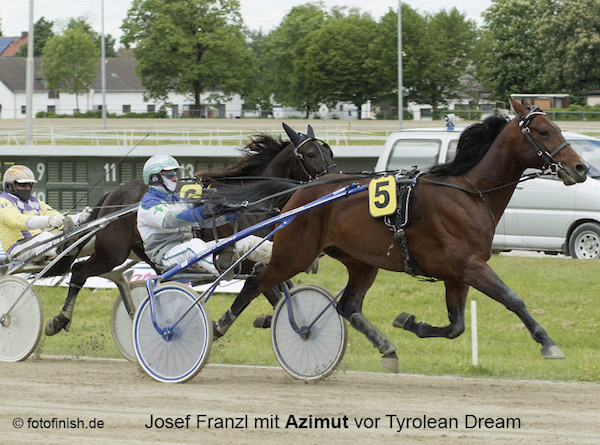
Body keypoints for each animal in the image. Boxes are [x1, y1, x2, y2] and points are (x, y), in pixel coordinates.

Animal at [44, 123, 340, 334]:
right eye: (310, 154)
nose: (334, 177)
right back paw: (59, 320)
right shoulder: (246, 264)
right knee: (78, 271)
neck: (252, 201)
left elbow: (280, 289)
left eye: (330, 152)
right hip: (112, 252)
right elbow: (270, 293)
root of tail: (113, 195)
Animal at [209, 99, 588, 370]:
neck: (470, 192)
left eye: (556, 127)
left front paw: (409, 322)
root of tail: (304, 190)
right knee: (257, 281)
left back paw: (385, 346)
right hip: (296, 253)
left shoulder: (457, 274)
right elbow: (513, 299)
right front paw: (548, 343)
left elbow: (456, 326)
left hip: (360, 261)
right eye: (543, 131)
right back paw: (218, 326)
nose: (581, 167)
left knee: (347, 305)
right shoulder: (470, 265)